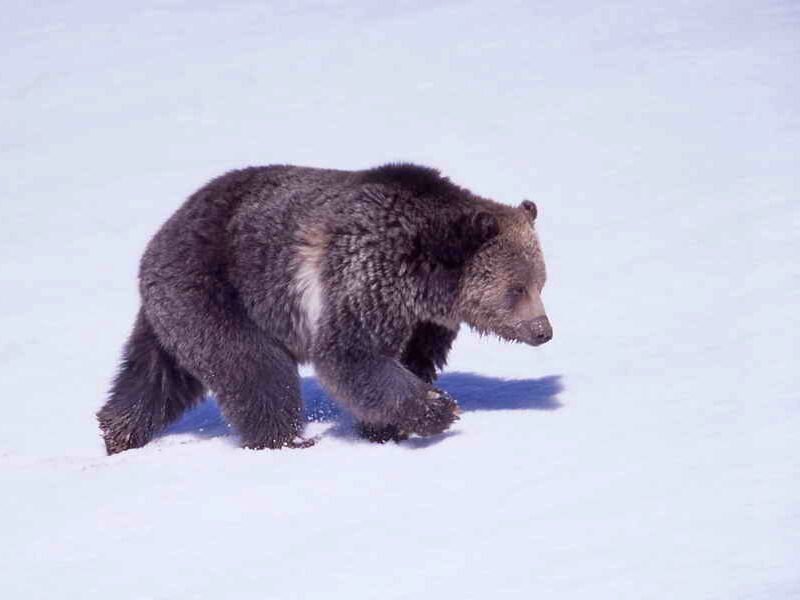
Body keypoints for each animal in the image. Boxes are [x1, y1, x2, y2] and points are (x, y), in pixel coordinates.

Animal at [97, 163, 552, 454]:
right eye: (516, 288)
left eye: (542, 281)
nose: (543, 330)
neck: (426, 278)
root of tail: (160, 236)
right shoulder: (365, 275)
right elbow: (351, 356)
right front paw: (437, 409)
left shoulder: (423, 323)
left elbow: (409, 359)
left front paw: (386, 428)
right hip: (218, 291)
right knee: (255, 370)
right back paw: (287, 440)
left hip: (172, 313)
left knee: (154, 377)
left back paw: (118, 433)